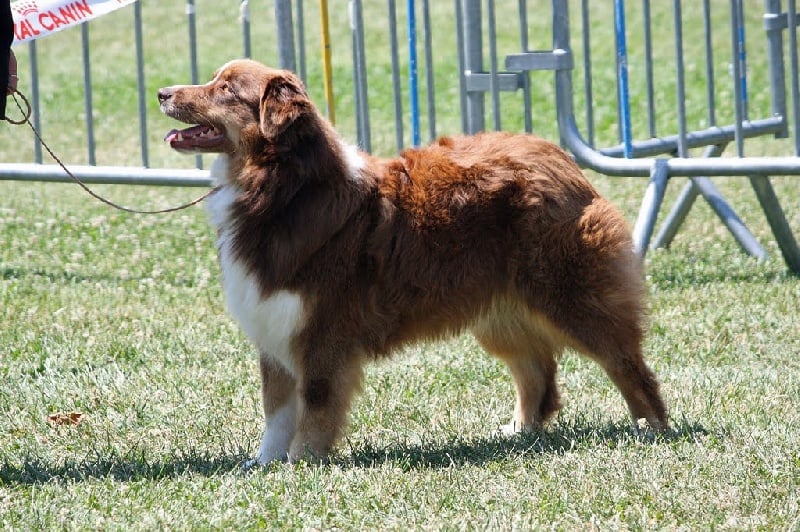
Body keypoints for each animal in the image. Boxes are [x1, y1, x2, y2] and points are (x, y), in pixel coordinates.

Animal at [158, 59, 668, 466]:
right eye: (214, 80)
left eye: (226, 88)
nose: (162, 93)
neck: (283, 186)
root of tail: (556, 154)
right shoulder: (275, 324)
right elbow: (276, 409)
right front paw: (264, 464)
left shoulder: (321, 332)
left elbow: (315, 401)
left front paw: (302, 462)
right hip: (500, 312)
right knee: (537, 373)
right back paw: (519, 432)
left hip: (572, 295)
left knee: (626, 362)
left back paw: (652, 429)